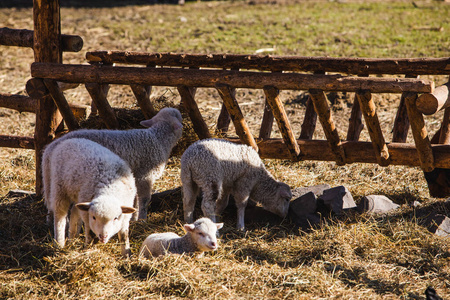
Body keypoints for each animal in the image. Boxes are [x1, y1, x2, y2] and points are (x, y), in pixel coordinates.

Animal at [42, 108, 183, 220]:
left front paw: (133, 217)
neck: (158, 139)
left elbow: (135, 199)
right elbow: (144, 200)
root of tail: (49, 150)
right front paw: (142, 219)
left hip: (51, 180)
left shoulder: (136, 176)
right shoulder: (145, 175)